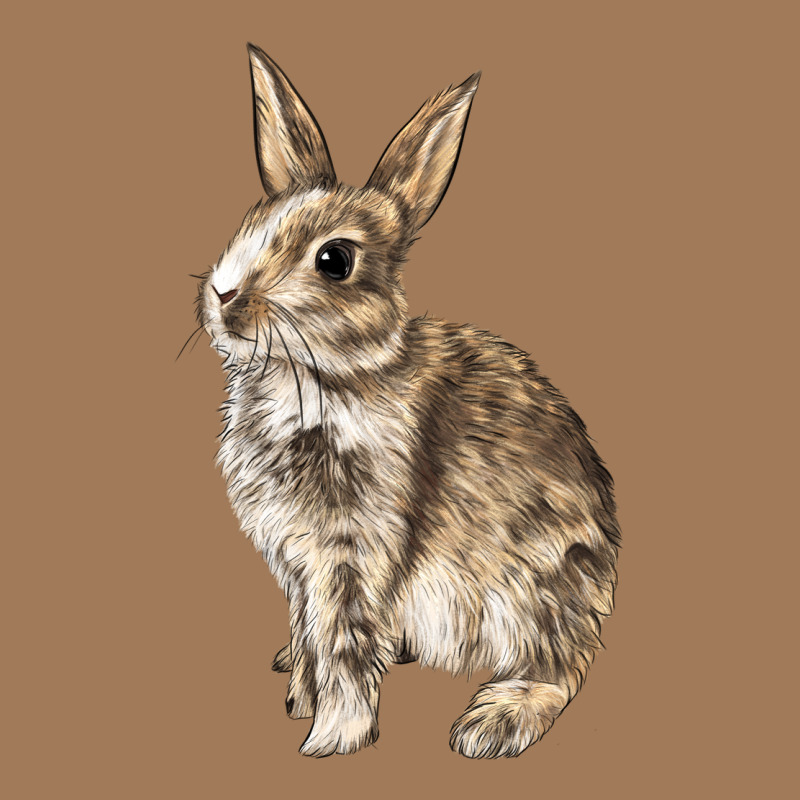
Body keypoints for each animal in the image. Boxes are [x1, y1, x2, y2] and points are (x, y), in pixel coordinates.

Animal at [194, 44, 620, 758]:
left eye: (334, 260)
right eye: (250, 224)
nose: (224, 296)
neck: (322, 377)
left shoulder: (351, 553)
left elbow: (340, 644)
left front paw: (330, 738)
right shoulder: (298, 564)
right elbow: (309, 634)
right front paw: (299, 695)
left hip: (532, 592)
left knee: (559, 669)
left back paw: (492, 724)